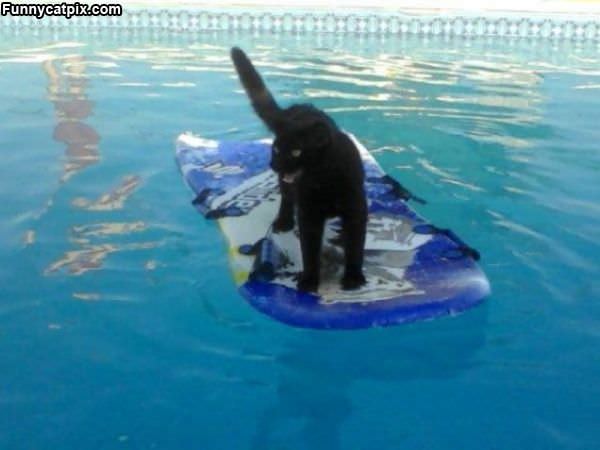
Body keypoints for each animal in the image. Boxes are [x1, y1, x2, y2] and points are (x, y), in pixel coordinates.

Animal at [231, 48, 368, 292]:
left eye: (296, 152)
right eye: (276, 149)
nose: (274, 164)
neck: (325, 181)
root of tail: (293, 110)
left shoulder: (356, 210)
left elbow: (356, 246)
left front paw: (353, 279)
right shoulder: (309, 215)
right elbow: (309, 250)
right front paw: (309, 281)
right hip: (287, 187)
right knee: (286, 198)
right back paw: (283, 222)